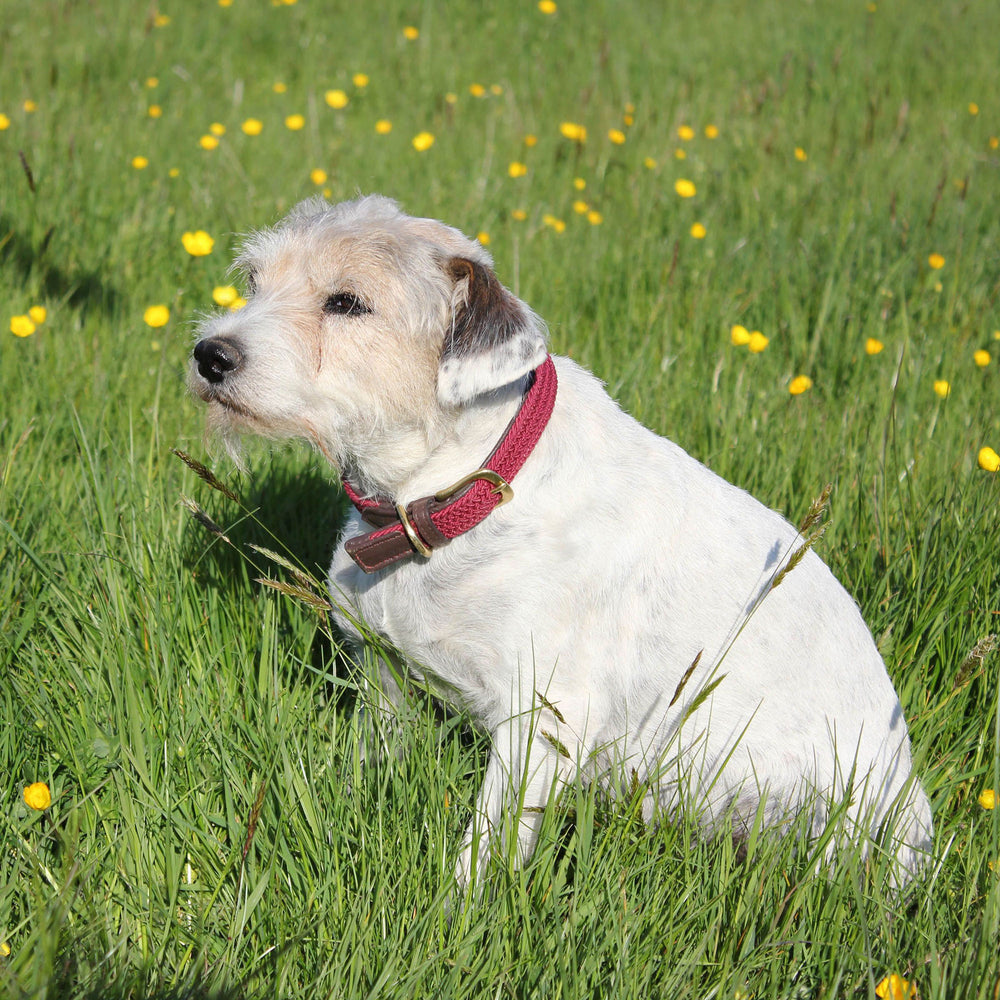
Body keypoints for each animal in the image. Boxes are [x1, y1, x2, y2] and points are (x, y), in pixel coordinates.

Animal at [191, 195, 932, 892]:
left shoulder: (540, 717)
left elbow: (484, 846)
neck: (453, 490)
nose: (210, 354)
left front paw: (455, 913)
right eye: (254, 280)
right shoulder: (385, 678)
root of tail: (919, 836)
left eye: (346, 302)